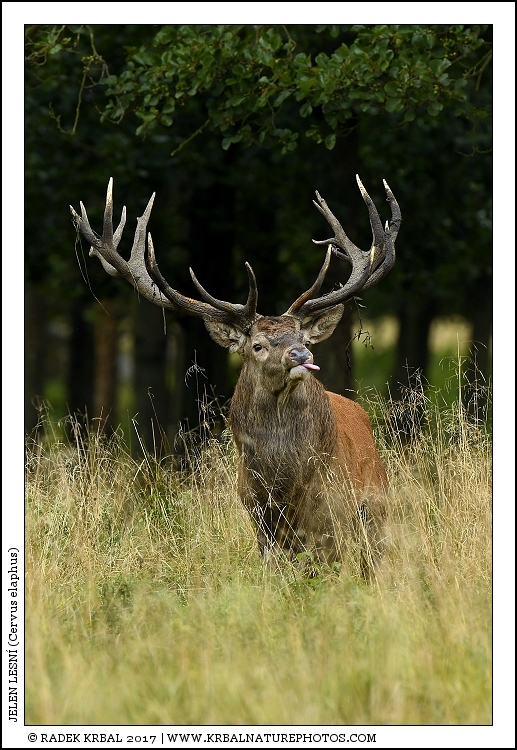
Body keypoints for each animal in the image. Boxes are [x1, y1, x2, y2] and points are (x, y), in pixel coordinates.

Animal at [70, 175, 401, 579]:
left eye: (304, 338)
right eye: (257, 345)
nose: (301, 355)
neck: (283, 484)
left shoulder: (332, 516)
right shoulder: (258, 516)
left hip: (376, 511)